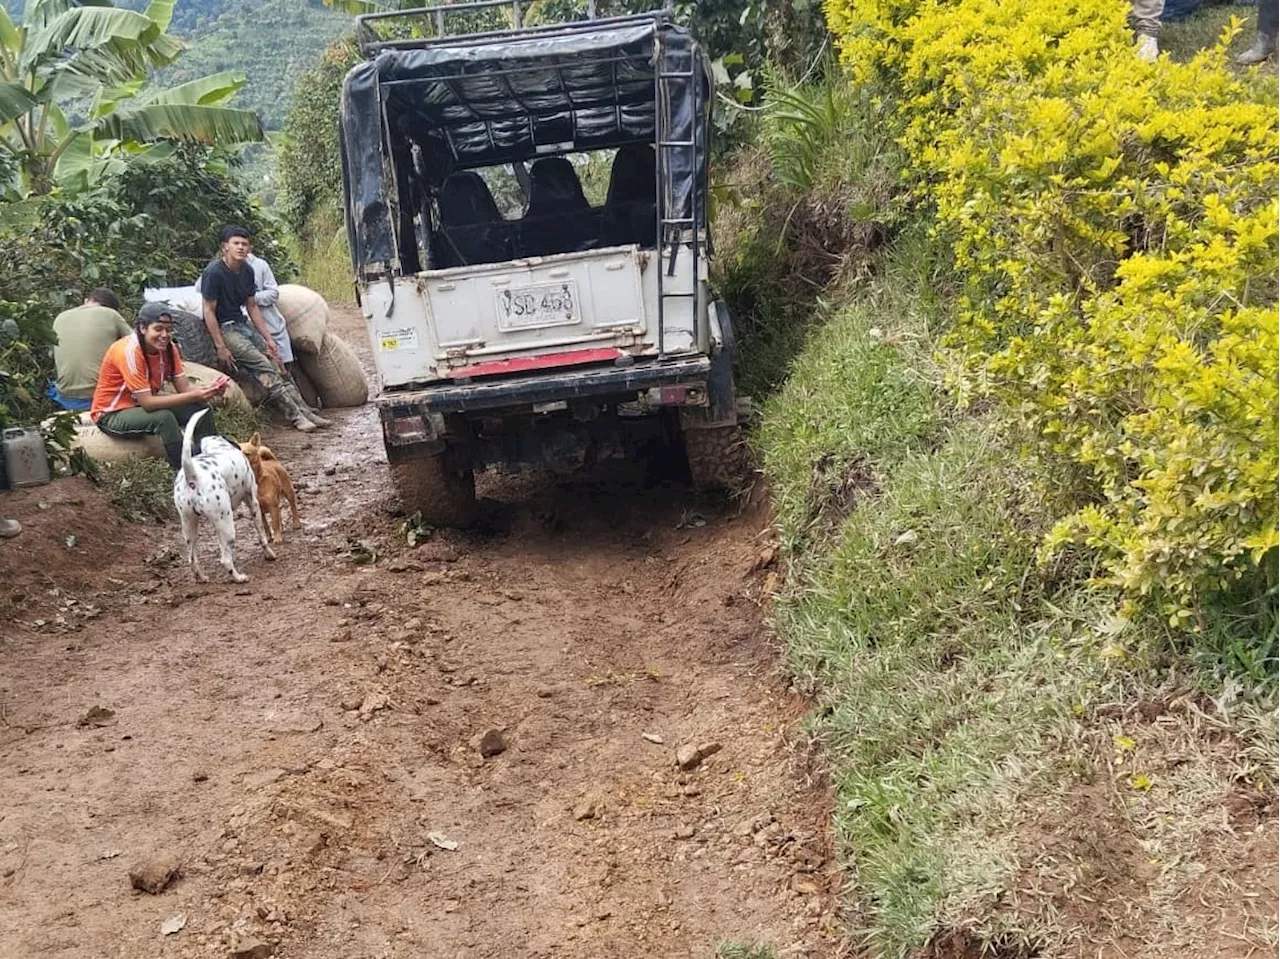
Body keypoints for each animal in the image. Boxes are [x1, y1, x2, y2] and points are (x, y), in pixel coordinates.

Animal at [172, 407, 277, 578]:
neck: (218, 447)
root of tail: (192, 475)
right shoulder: (253, 503)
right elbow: (262, 535)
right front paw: (269, 554)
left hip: (189, 525)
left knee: (192, 558)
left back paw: (202, 578)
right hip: (226, 524)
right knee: (225, 560)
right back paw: (239, 577)